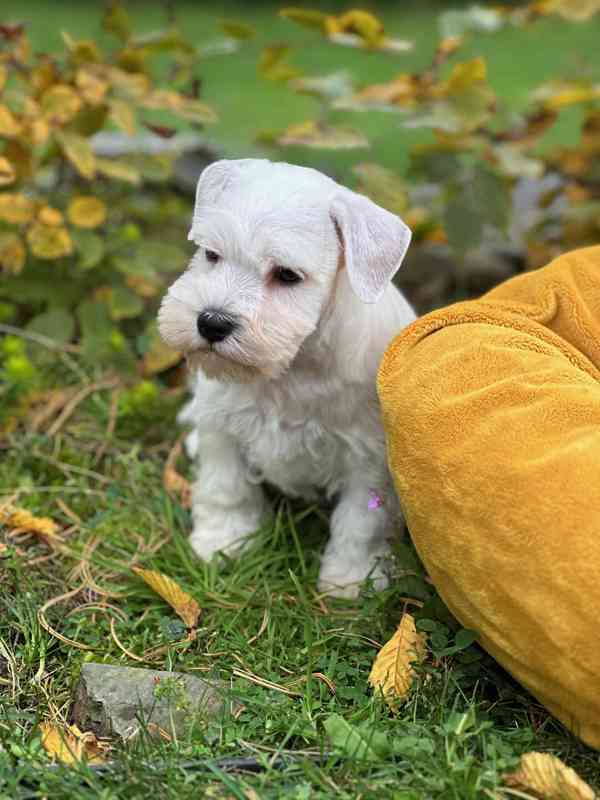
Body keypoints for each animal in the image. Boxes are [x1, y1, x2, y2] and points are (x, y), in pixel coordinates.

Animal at [157, 158, 414, 592]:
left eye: (288, 275)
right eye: (211, 254)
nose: (211, 322)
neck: (293, 368)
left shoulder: (368, 458)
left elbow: (361, 523)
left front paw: (351, 580)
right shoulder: (223, 427)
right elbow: (226, 488)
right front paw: (221, 543)